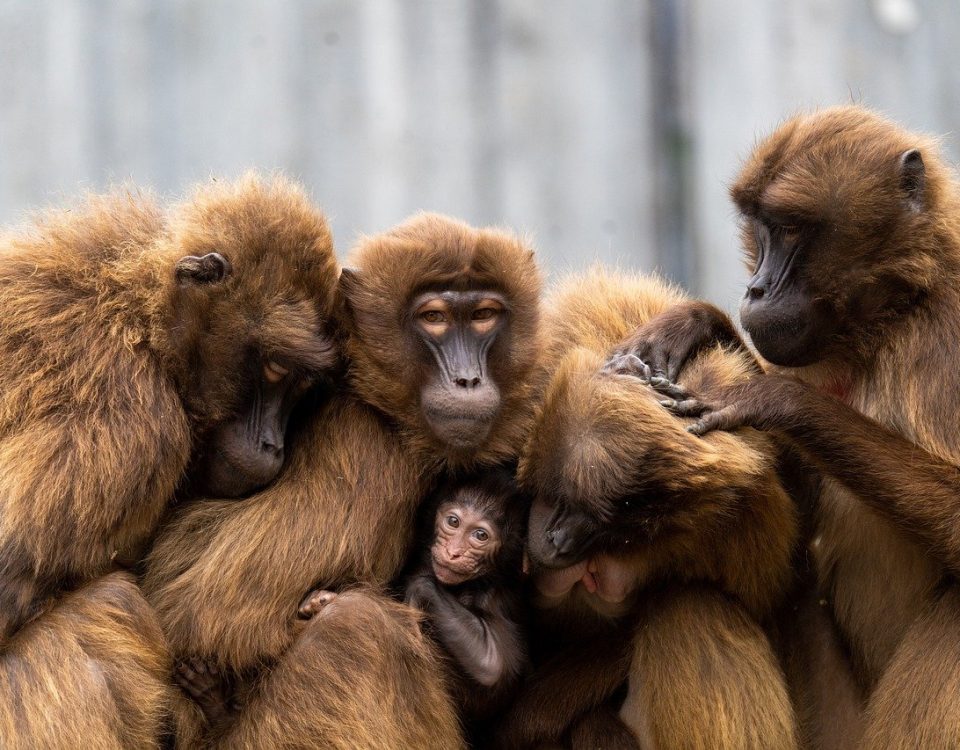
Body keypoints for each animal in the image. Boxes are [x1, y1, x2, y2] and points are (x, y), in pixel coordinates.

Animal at [402, 472, 528, 736]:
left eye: (480, 535)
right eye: (453, 521)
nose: (453, 552)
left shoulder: (494, 596)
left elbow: (491, 664)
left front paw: (419, 587)